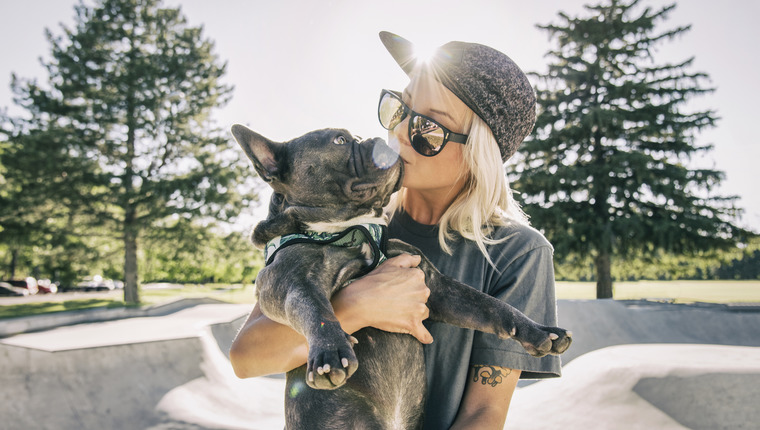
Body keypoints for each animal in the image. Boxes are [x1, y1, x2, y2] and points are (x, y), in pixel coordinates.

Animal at [232, 125, 568, 430]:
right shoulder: (287, 282)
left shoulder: (435, 286)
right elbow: (314, 308)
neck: (353, 227)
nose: (378, 139)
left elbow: (490, 305)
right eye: (339, 140)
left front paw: (539, 330)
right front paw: (331, 351)